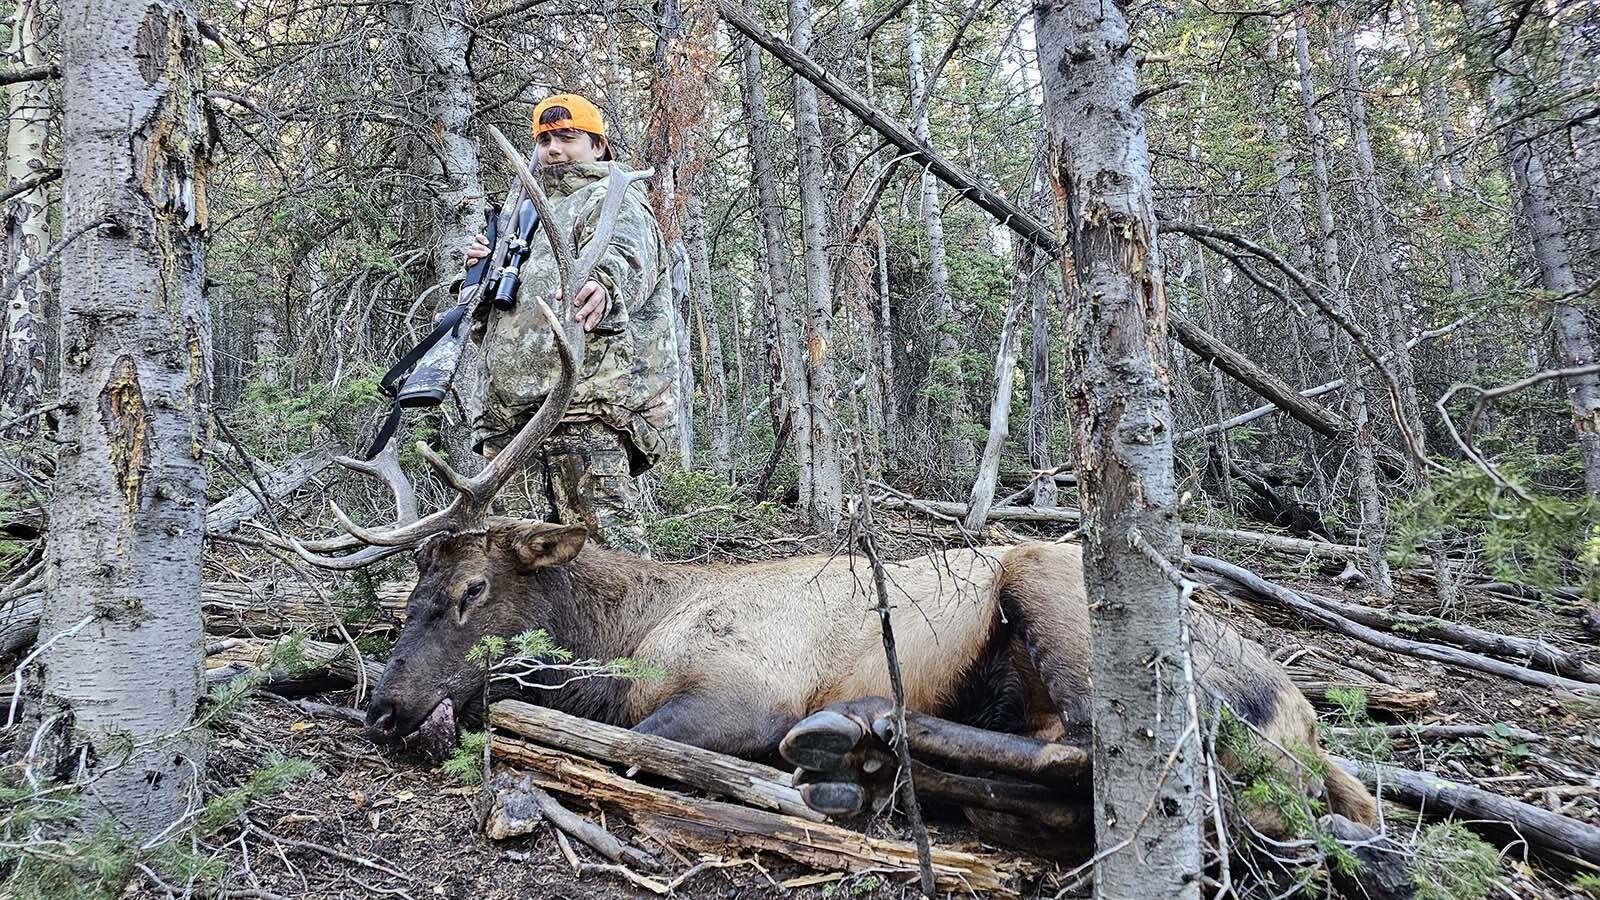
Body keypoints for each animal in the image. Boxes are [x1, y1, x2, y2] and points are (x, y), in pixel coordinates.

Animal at [270, 138, 1378, 854]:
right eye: (406, 595)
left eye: (469, 593)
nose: (383, 707)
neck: (621, 638)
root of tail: (1305, 721)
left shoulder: (739, 687)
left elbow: (632, 743)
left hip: (1059, 585)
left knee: (1121, 753)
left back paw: (858, 737)